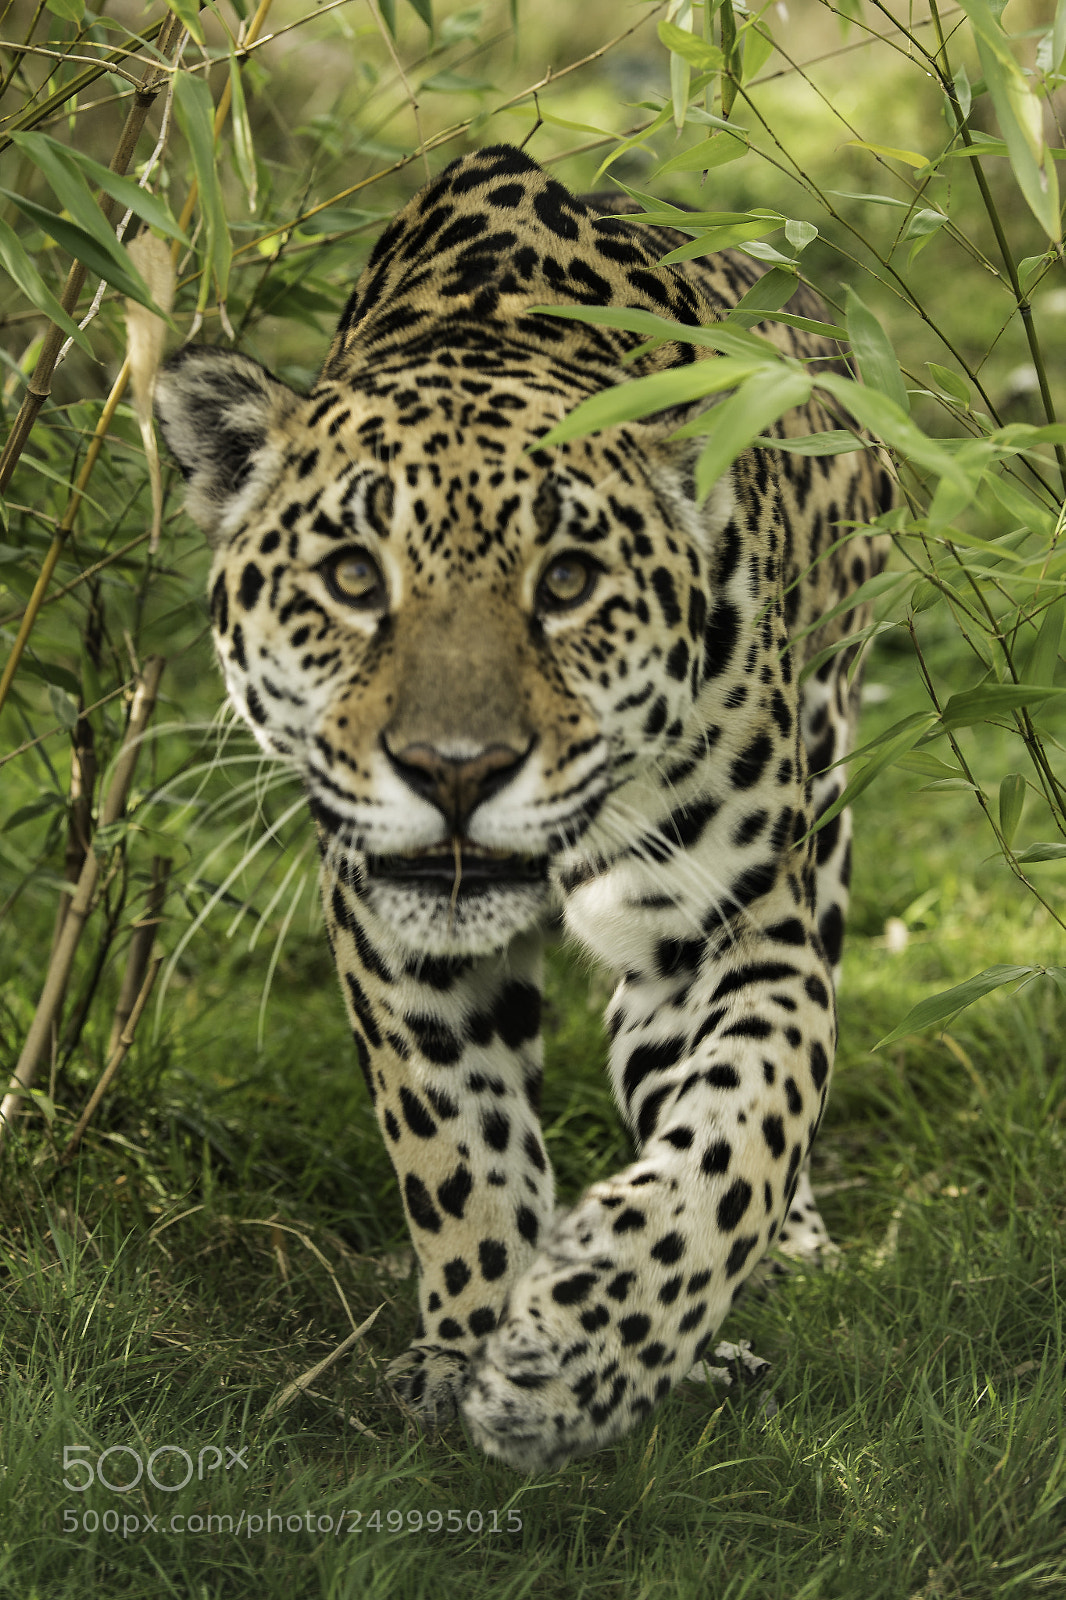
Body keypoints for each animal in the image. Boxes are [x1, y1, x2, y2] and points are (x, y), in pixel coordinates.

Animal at [156, 143, 893, 1472]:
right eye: (353, 577)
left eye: (568, 582)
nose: (455, 769)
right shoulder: (395, 940)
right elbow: (459, 1149)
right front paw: (474, 1341)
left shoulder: (739, 925)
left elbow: (740, 1132)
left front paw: (586, 1349)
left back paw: (779, 1261)